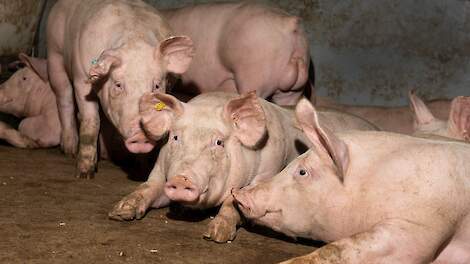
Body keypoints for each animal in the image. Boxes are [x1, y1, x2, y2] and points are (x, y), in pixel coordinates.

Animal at [46, 0, 194, 178]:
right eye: (118, 85)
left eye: (157, 85)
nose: (140, 134)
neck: (134, 38)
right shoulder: (81, 78)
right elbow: (91, 121)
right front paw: (84, 174)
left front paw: (142, 170)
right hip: (54, 52)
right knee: (64, 98)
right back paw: (69, 150)